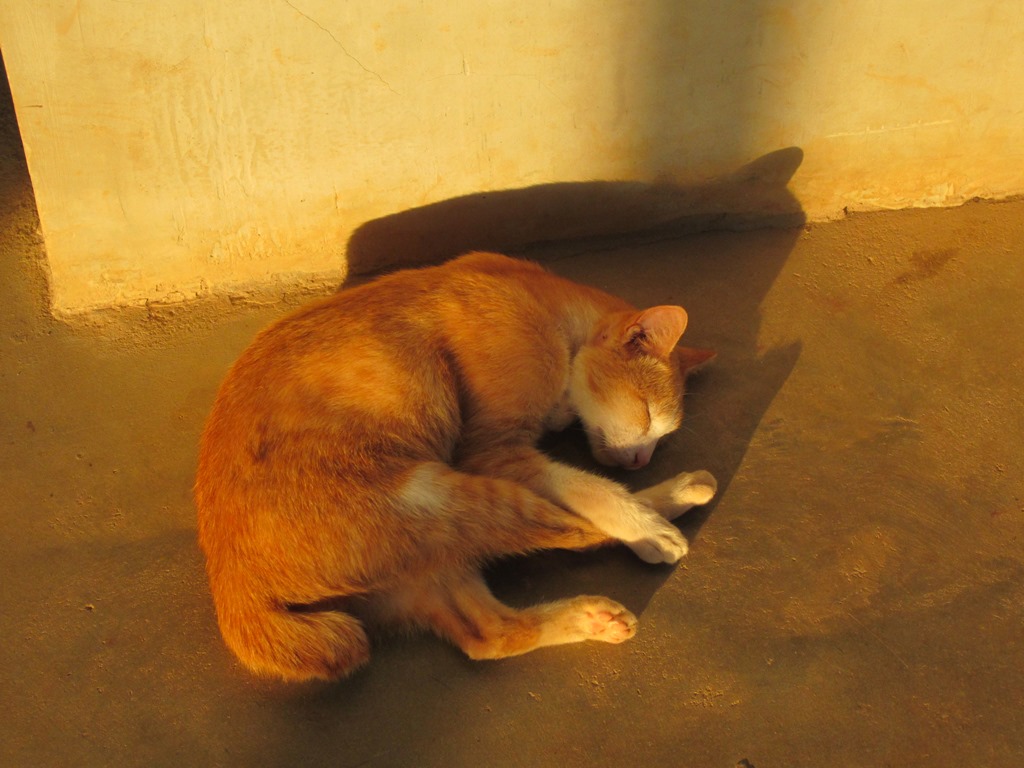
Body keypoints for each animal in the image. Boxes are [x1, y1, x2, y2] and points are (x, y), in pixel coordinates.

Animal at [195, 253, 716, 684]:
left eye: (663, 434)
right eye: (646, 415)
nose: (643, 460)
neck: (541, 299)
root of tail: (232, 589)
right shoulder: (491, 450)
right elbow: (590, 489)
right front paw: (644, 525)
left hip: (433, 561)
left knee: (492, 633)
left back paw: (600, 609)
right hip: (443, 493)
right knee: (572, 530)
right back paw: (663, 519)